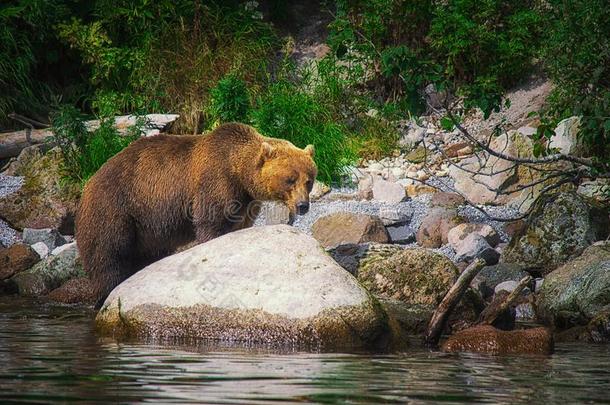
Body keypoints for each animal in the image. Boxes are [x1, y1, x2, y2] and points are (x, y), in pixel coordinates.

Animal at [75, 122, 318, 306]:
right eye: (290, 179)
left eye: (309, 180)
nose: (302, 205)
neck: (238, 171)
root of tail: (88, 182)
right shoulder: (215, 181)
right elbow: (210, 224)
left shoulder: (245, 202)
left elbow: (238, 226)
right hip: (115, 208)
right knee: (109, 255)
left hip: (145, 229)